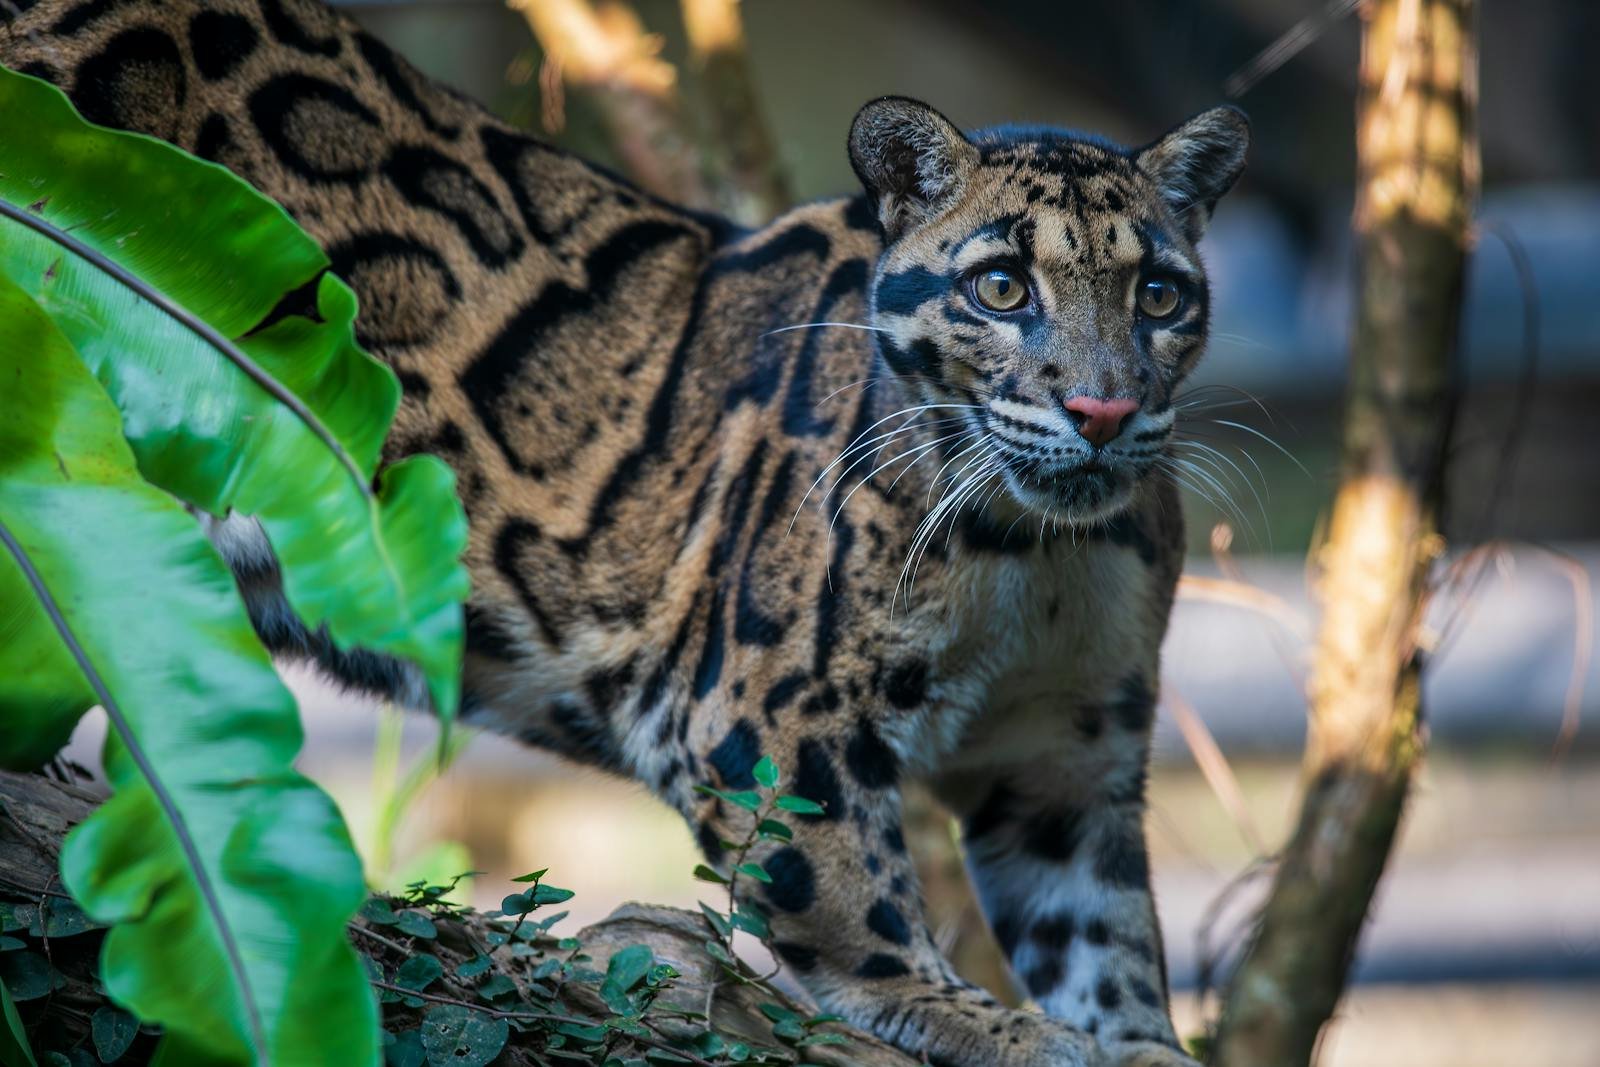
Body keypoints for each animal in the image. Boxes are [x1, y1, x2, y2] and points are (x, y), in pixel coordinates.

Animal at [0, 2, 1250, 1063]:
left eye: (1159, 296)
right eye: (1000, 287)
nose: (1101, 410)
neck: (1038, 553)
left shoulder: (1067, 753)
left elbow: (1106, 935)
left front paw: (1136, 1044)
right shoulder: (760, 715)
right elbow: (845, 885)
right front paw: (973, 1015)